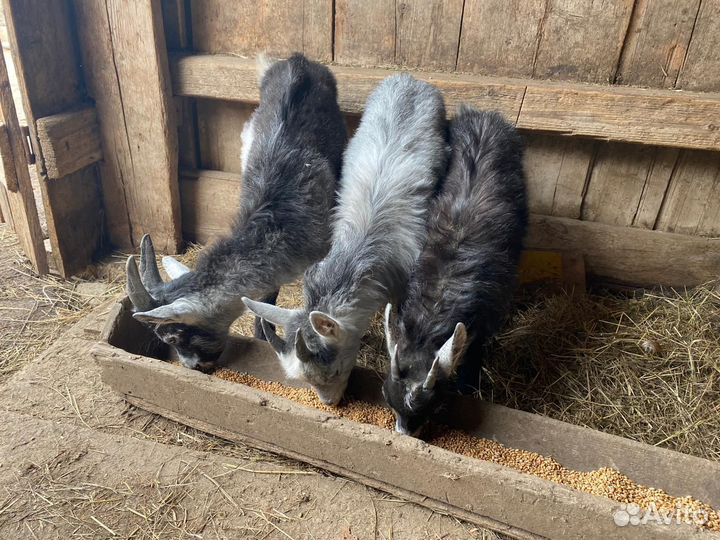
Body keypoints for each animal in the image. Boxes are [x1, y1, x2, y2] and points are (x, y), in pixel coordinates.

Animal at [382, 106, 528, 435]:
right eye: (387, 397)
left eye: (435, 403)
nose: (405, 434)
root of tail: (484, 116)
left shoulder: (487, 317)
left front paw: (468, 386)